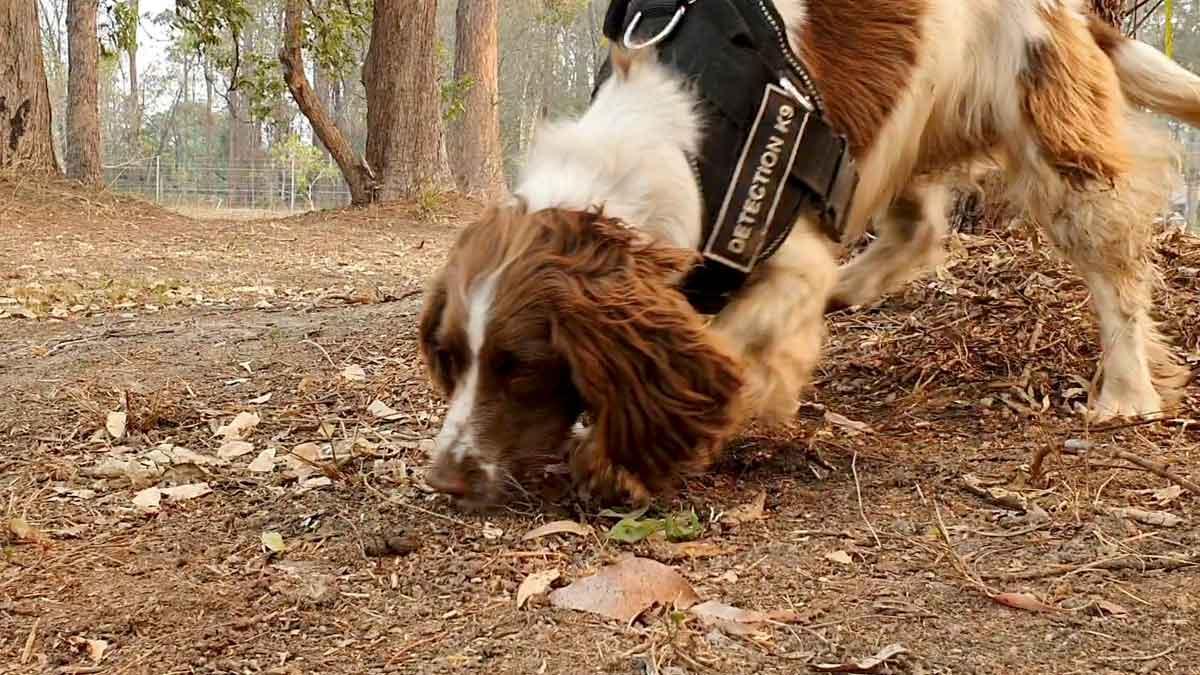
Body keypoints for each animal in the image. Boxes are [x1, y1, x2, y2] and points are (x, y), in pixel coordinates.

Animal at [420, 0, 1200, 504]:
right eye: (453, 359)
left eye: (522, 369)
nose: (446, 479)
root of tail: (1068, 8)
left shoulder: (784, 261)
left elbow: (731, 347)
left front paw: (615, 462)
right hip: (895, 137)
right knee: (920, 231)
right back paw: (852, 287)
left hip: (1049, 136)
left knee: (1116, 273)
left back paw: (1127, 392)